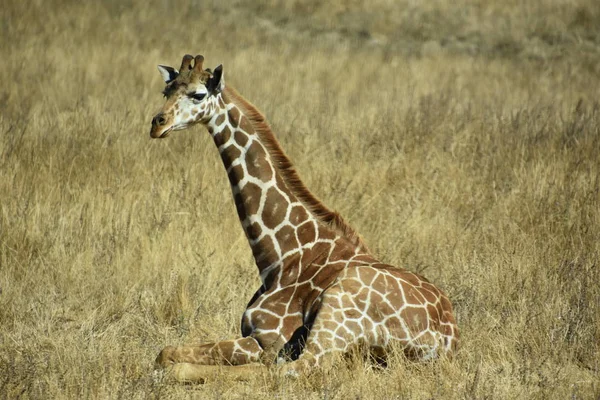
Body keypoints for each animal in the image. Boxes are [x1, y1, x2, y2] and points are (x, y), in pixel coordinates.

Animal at [150, 53, 460, 382]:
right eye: (166, 91)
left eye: (198, 94)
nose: (157, 124)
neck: (280, 255)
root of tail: (447, 341)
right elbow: (165, 351)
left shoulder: (266, 340)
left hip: (339, 305)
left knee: (292, 369)